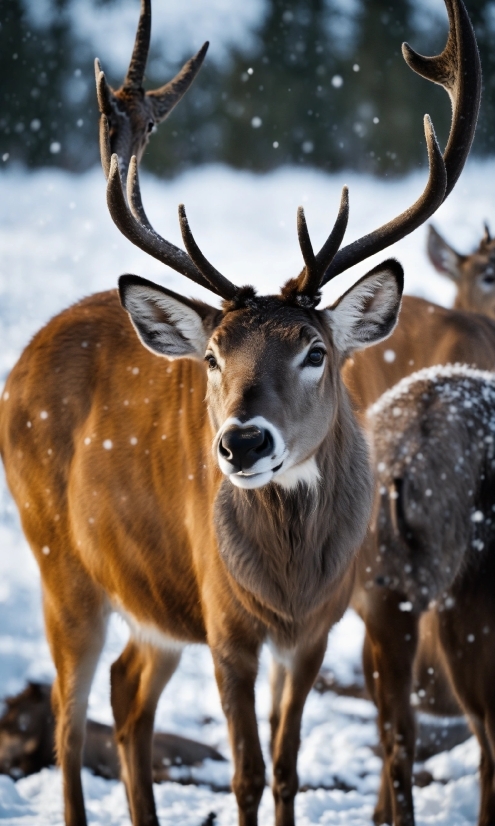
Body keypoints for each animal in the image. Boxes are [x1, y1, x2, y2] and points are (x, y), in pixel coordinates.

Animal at [0, 1, 480, 824]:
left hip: (147, 597)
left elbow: (284, 767)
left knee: (127, 692)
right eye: (214, 356)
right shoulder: (226, 622)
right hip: (58, 559)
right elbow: (245, 773)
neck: (288, 581)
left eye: (316, 351)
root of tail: (25, 356)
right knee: (67, 712)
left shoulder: (315, 630)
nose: (242, 443)